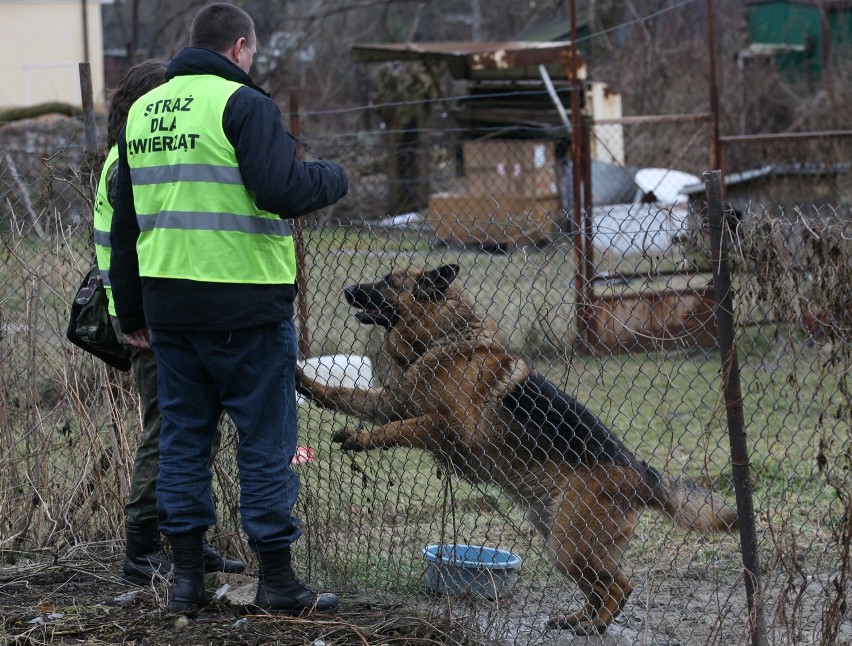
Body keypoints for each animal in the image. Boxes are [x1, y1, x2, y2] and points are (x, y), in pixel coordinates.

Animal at [296, 264, 736, 636]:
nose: (348, 289)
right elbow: (346, 396)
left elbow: (399, 428)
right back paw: (578, 618)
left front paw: (364, 438)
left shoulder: (445, 425)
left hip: (570, 544)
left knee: (617, 587)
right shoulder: (392, 402)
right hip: (561, 540)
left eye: (388, 282)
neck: (439, 338)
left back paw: (592, 626)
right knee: (613, 584)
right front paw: (306, 384)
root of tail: (641, 471)